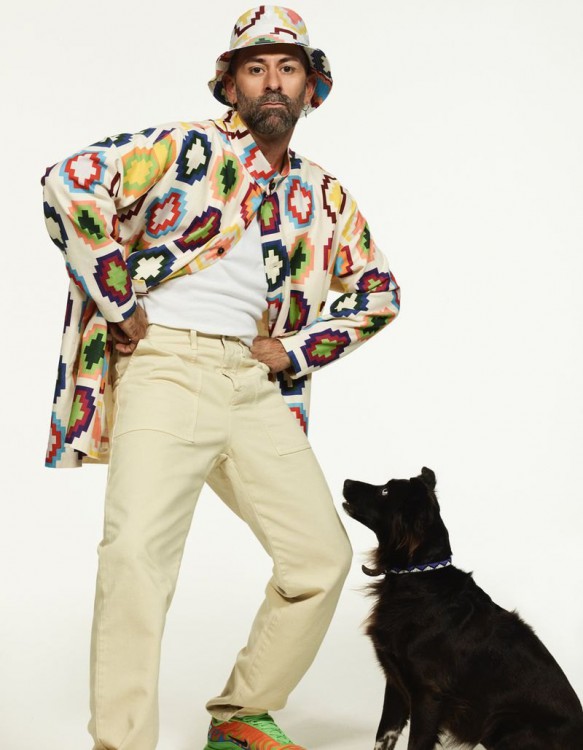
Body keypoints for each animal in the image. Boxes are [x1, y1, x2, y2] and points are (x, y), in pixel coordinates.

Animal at [342, 467, 583, 750]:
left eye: (385, 491)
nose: (346, 481)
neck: (418, 576)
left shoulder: (427, 692)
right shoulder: (395, 682)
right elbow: (383, 737)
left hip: (504, 725)